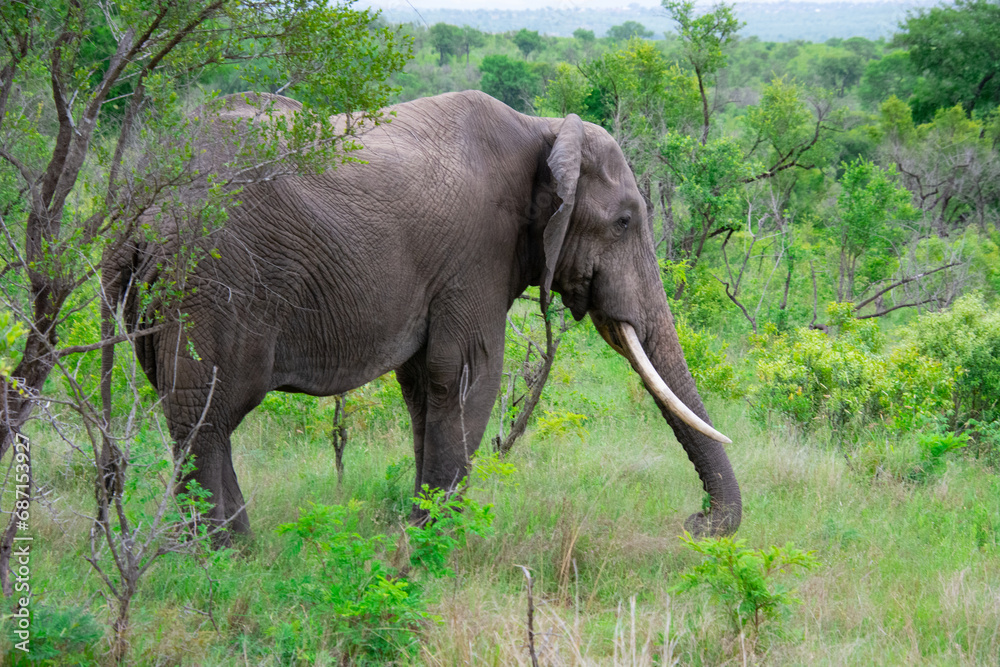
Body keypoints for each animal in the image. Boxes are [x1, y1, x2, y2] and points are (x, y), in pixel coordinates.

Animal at [101, 90, 742, 541]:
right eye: (625, 222)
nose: (695, 523)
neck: (543, 130)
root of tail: (137, 211)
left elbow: (421, 385)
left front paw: (415, 527)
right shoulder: (477, 253)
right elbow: (467, 375)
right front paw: (434, 542)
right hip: (211, 281)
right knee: (205, 418)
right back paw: (229, 555)